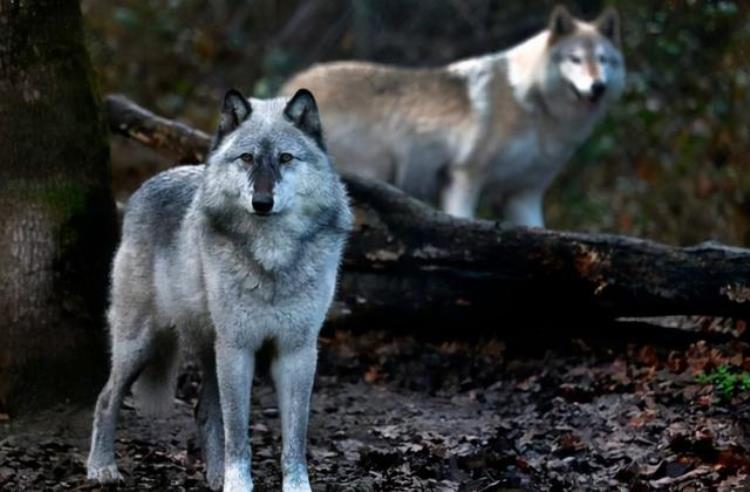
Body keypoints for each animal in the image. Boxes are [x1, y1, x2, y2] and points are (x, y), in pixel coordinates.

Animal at [87, 88, 352, 492]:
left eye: (285, 158)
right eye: (247, 158)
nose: (262, 203)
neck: (271, 259)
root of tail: (146, 185)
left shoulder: (297, 351)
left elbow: (294, 437)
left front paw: (295, 487)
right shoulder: (238, 347)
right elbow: (238, 434)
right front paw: (238, 485)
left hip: (208, 352)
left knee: (204, 411)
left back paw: (213, 476)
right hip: (142, 345)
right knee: (105, 399)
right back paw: (101, 467)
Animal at [280, 5, 624, 227]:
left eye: (603, 60)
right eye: (575, 59)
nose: (597, 87)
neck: (532, 104)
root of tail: (290, 86)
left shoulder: (524, 194)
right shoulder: (463, 177)